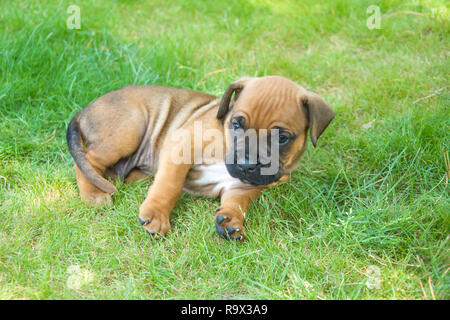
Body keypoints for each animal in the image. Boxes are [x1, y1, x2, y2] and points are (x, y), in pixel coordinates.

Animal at [67, 75, 334, 240]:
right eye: (236, 124)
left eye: (282, 138)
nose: (246, 165)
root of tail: (84, 109)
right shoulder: (181, 145)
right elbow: (169, 185)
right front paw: (156, 215)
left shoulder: (246, 184)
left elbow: (238, 201)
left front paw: (231, 220)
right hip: (131, 126)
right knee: (87, 161)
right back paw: (93, 194)